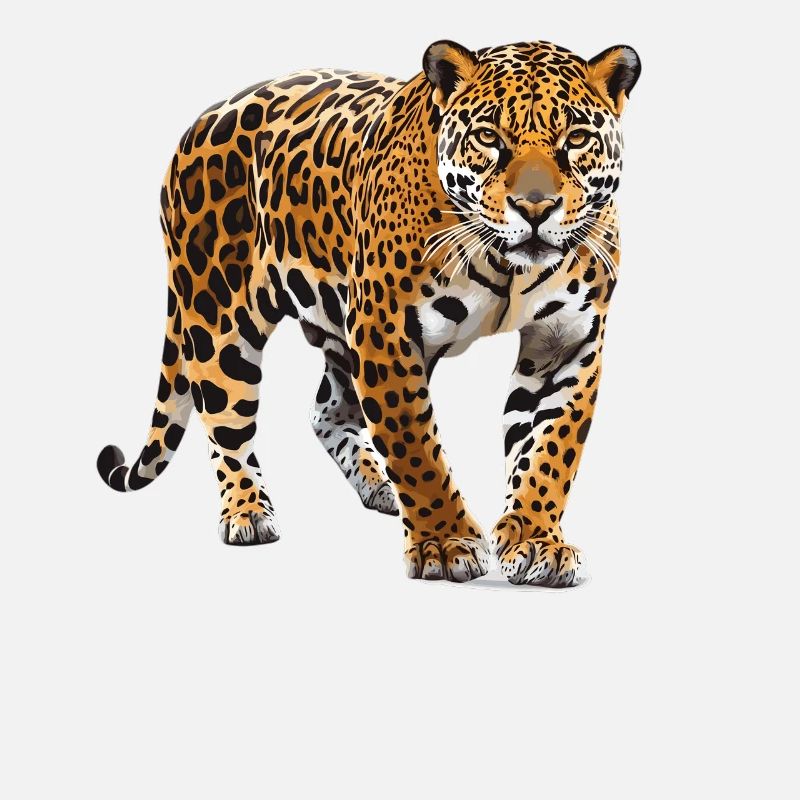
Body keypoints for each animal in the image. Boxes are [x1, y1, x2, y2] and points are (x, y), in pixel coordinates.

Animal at [97, 39, 640, 586]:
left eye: (576, 139)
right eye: (488, 136)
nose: (535, 207)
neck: (508, 265)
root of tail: (199, 123)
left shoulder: (566, 340)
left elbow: (550, 449)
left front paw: (537, 542)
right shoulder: (386, 333)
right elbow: (416, 447)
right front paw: (444, 543)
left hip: (335, 329)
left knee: (325, 410)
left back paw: (376, 487)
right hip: (218, 316)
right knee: (226, 422)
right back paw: (248, 513)